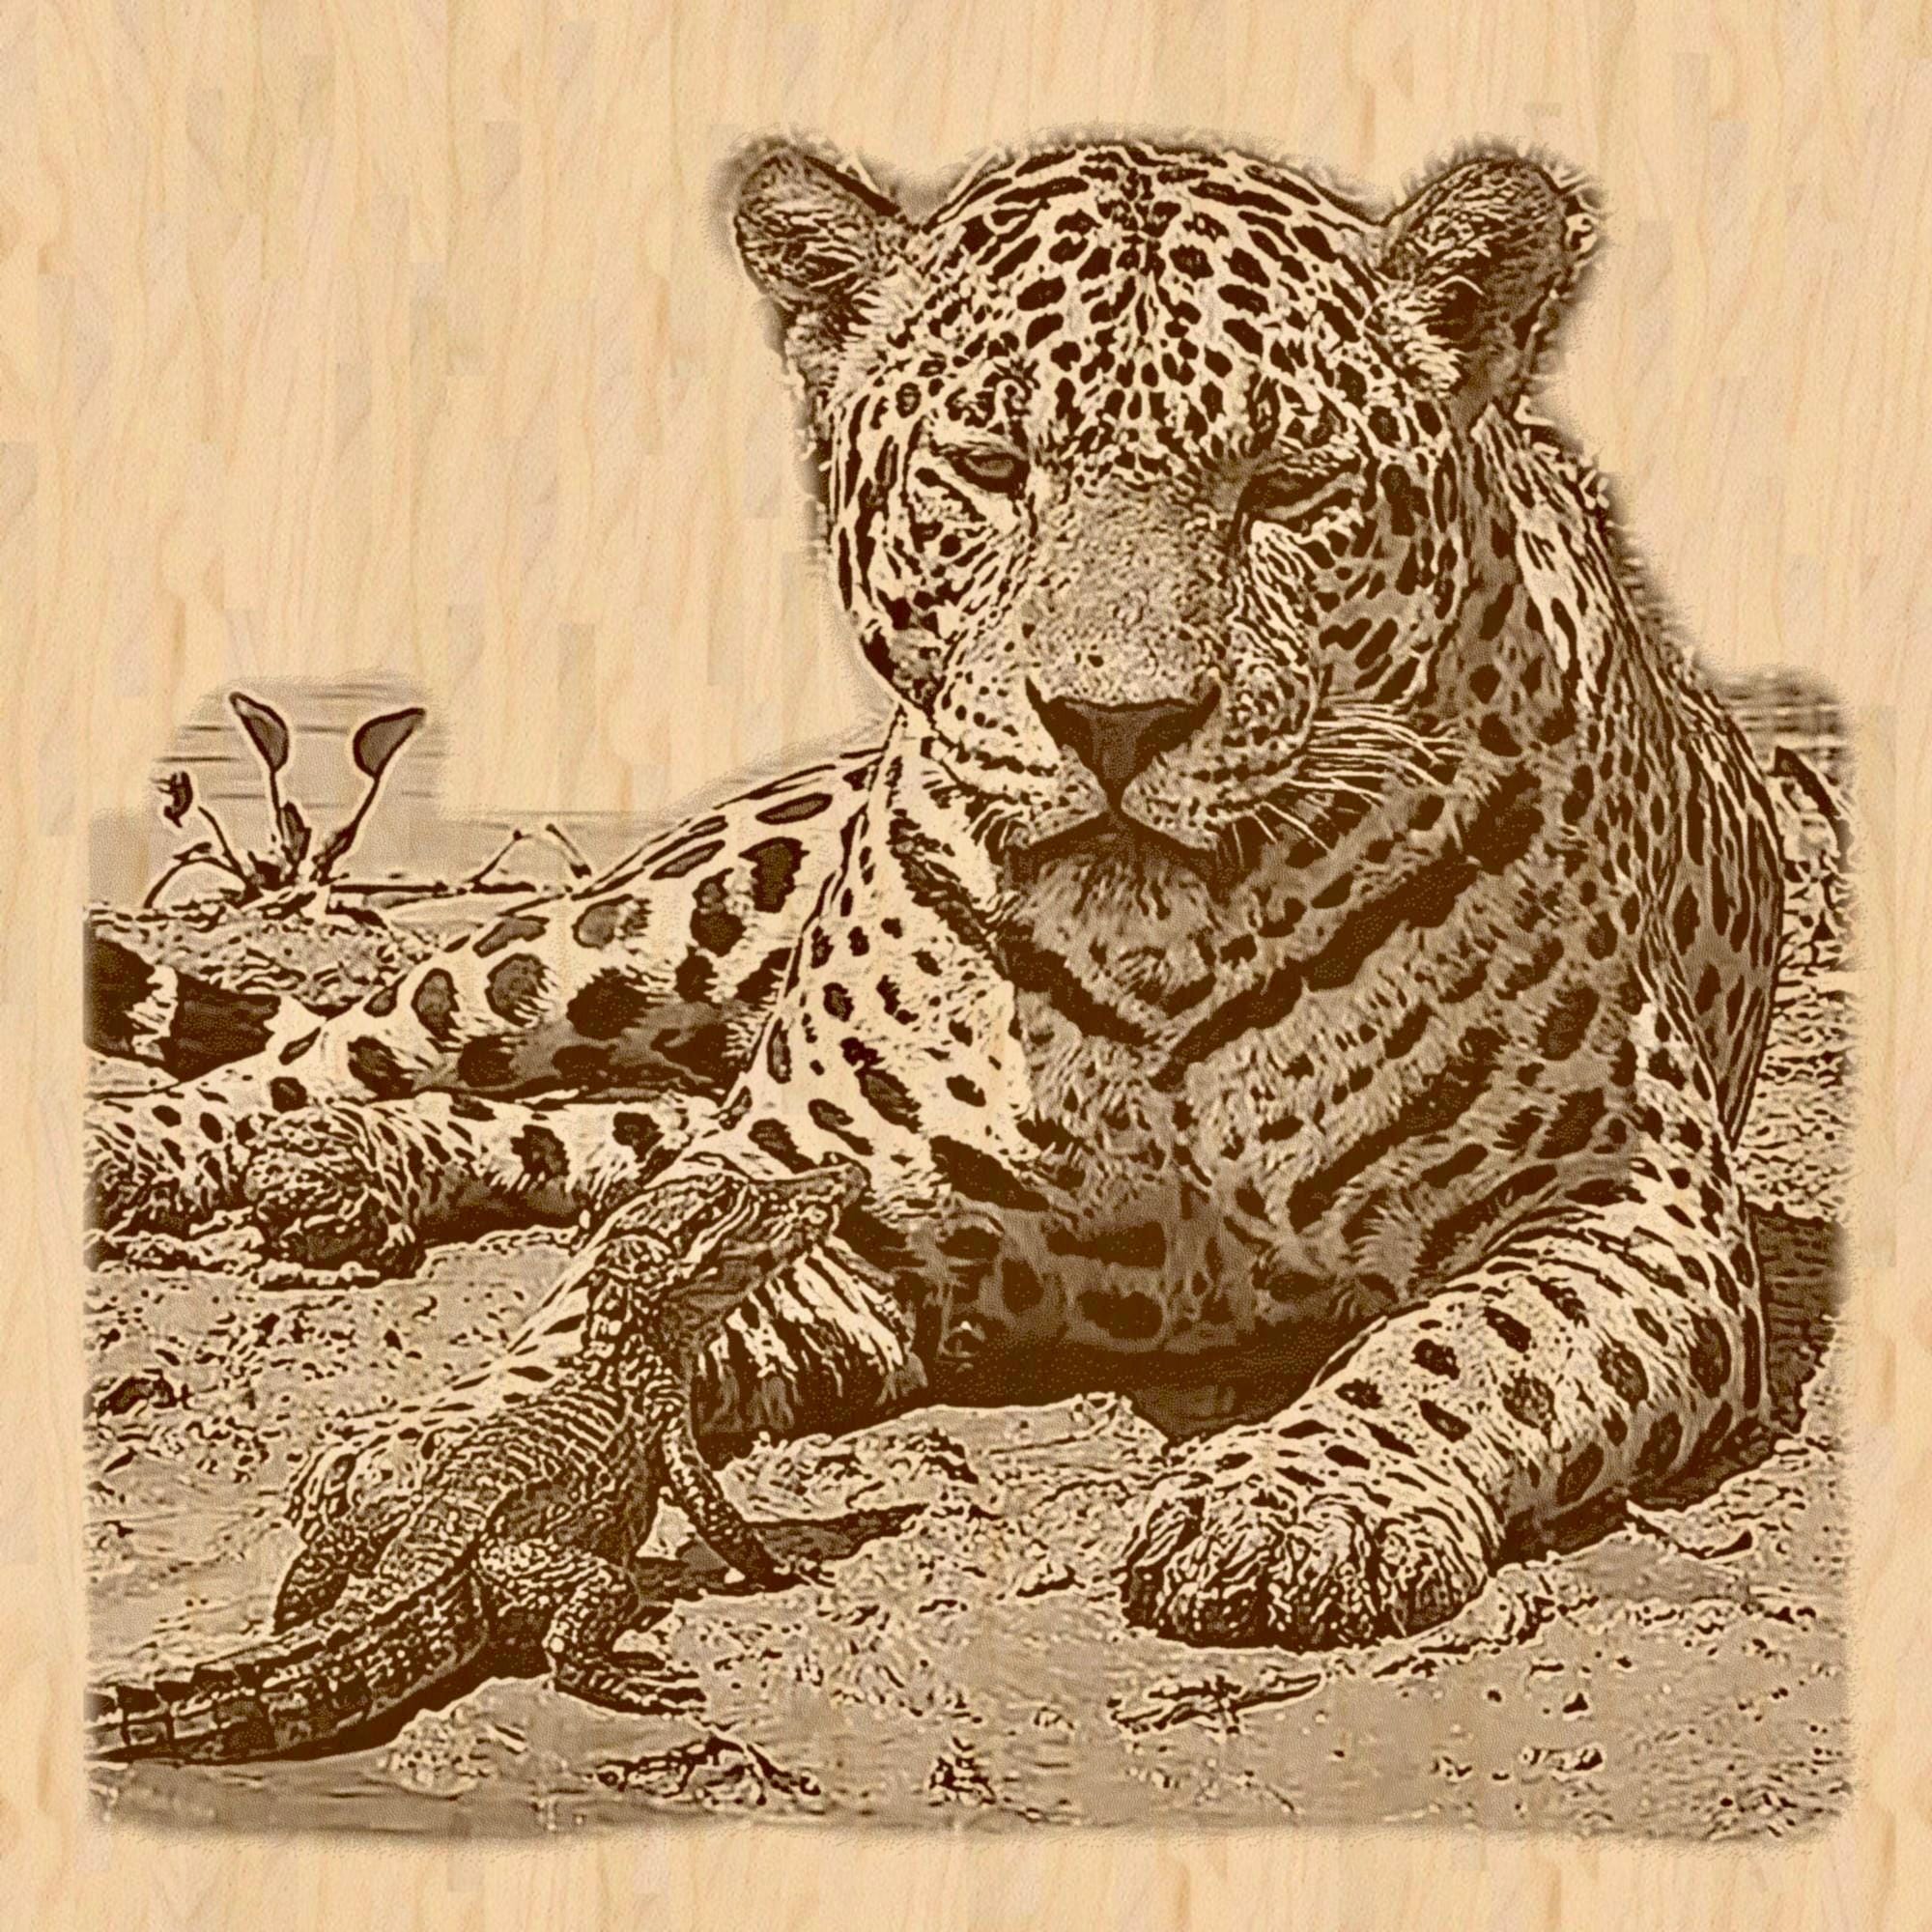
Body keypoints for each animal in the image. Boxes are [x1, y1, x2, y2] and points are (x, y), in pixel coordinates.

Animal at [86, 135, 1786, 1650]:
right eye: (991, 471)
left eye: (1287, 487)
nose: (1118, 721)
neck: (1160, 949)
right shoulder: (832, 1199)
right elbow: (604, 1302)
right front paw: (464, 1449)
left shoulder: (1622, 1204)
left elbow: (1457, 1344)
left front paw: (1298, 1500)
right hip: (668, 919)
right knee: (369, 1038)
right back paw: (179, 1148)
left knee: (607, 1131)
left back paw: (346, 1169)